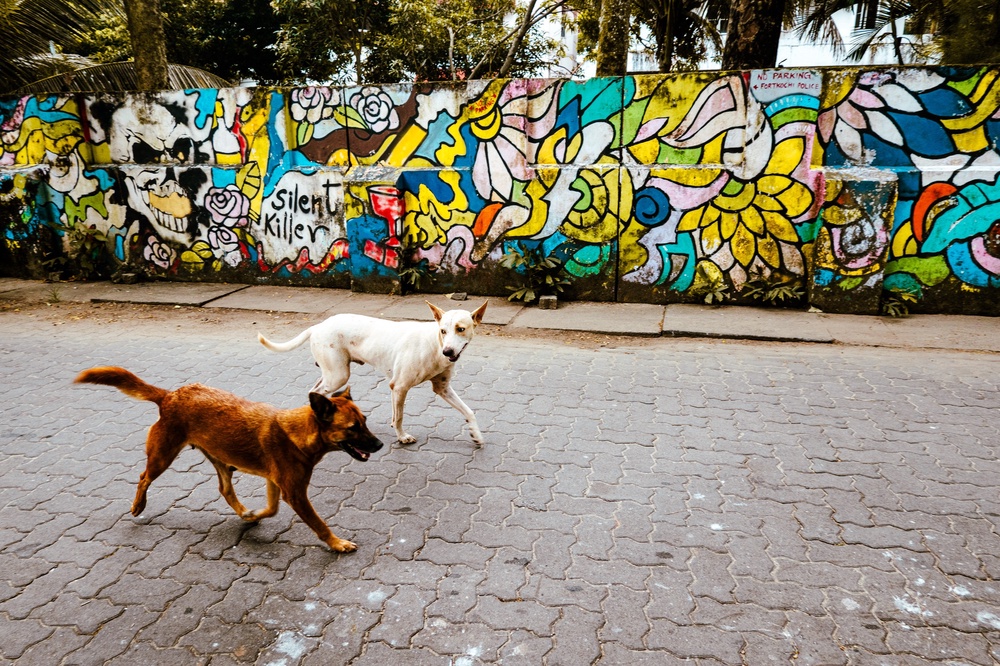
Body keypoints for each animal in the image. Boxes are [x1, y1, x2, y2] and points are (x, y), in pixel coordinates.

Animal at [74, 364, 384, 548]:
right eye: (353, 428)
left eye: (365, 421)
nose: (380, 444)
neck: (299, 432)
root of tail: (170, 395)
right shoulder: (295, 493)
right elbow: (319, 523)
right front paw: (336, 543)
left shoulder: (275, 483)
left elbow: (271, 509)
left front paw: (253, 515)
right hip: (163, 456)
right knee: (143, 477)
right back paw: (138, 505)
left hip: (221, 460)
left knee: (224, 489)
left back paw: (243, 511)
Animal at [258, 300, 488, 446]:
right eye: (443, 331)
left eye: (460, 329)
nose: (447, 351)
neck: (434, 343)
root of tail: (317, 326)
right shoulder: (399, 387)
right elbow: (400, 417)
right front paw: (402, 436)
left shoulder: (443, 388)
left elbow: (469, 411)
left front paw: (476, 435)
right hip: (338, 375)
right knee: (317, 392)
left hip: (332, 373)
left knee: (314, 391)